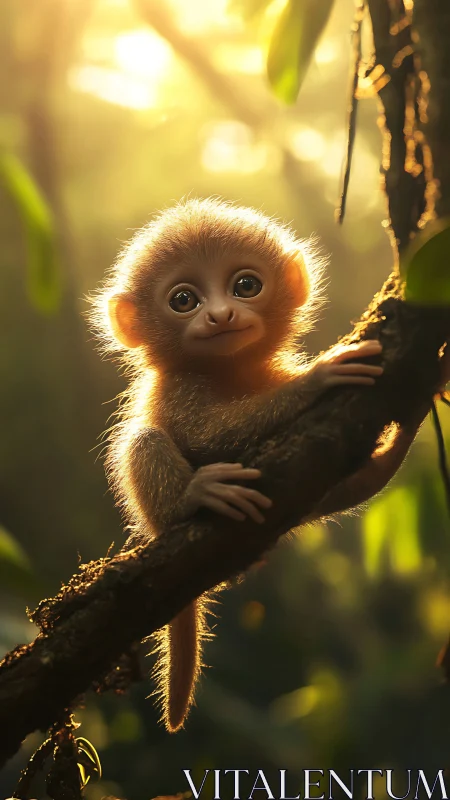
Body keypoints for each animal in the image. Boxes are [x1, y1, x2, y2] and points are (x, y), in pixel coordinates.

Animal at [91, 197, 438, 734]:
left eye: (246, 286)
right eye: (184, 300)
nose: (221, 315)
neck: (230, 368)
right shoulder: (179, 388)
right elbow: (207, 433)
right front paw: (319, 376)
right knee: (143, 440)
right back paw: (193, 498)